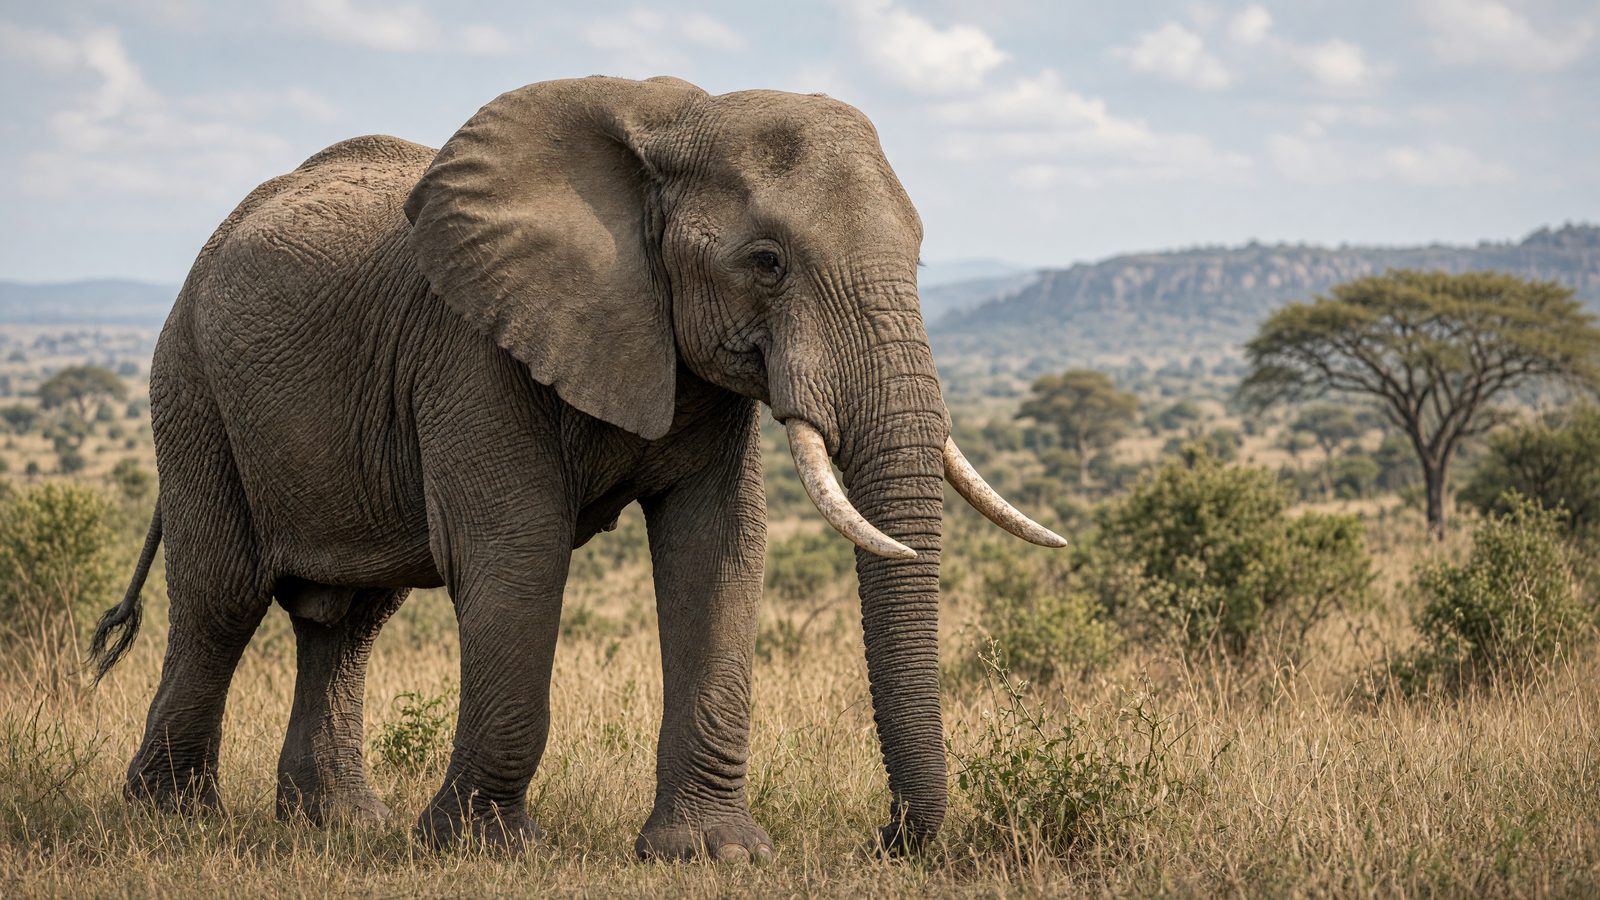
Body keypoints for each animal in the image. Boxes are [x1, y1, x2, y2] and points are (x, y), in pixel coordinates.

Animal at [89, 75, 1064, 861]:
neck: (673, 127)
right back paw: (172, 820)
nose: (889, 838)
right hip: (190, 384)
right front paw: (484, 850)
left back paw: (341, 826)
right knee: (222, 597)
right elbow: (516, 550)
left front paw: (712, 855)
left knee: (349, 618)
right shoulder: (471, 344)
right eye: (766, 262)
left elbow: (717, 551)